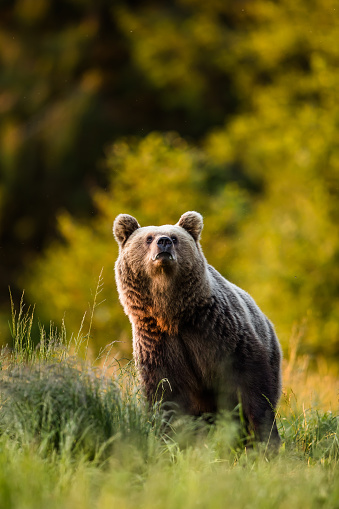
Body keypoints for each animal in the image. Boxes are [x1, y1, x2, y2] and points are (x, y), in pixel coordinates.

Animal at [113, 209, 282, 444]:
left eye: (175, 238)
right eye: (148, 238)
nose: (164, 243)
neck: (173, 314)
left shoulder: (216, 331)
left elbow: (251, 384)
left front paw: (264, 437)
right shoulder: (159, 344)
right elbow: (165, 394)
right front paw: (170, 437)